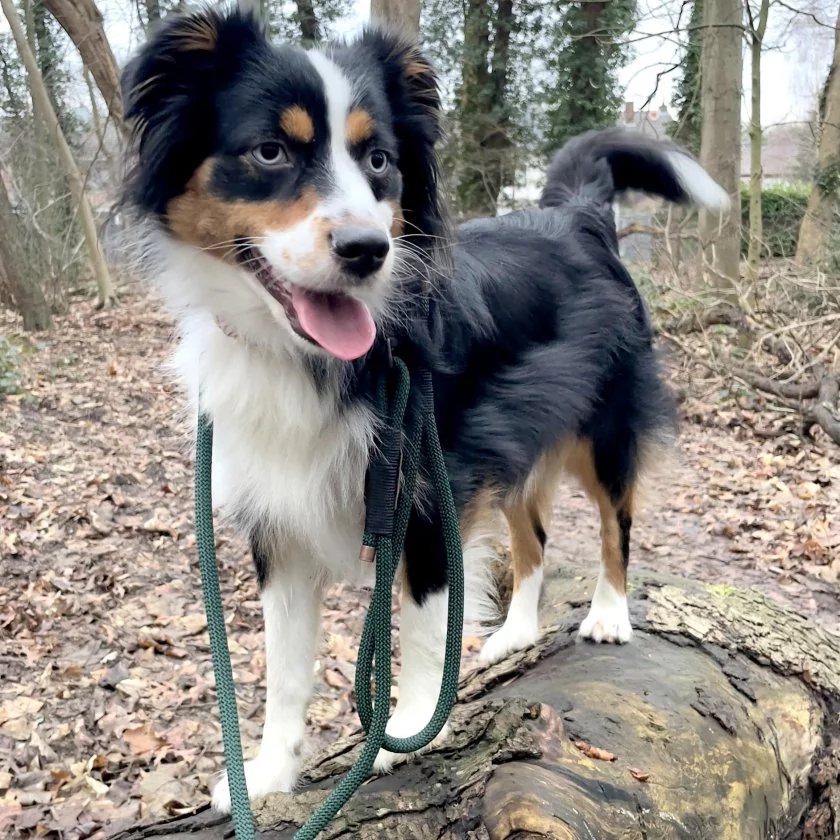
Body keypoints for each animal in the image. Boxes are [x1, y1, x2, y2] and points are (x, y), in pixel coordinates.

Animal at [118, 4, 728, 808]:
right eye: (271, 152)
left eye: (379, 161)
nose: (366, 250)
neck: (306, 357)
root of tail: (574, 216)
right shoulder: (280, 521)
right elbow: (285, 670)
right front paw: (268, 774)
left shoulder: (425, 491)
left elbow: (421, 622)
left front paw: (405, 730)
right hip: (508, 446)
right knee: (533, 540)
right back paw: (515, 634)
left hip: (602, 432)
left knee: (614, 526)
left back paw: (607, 614)